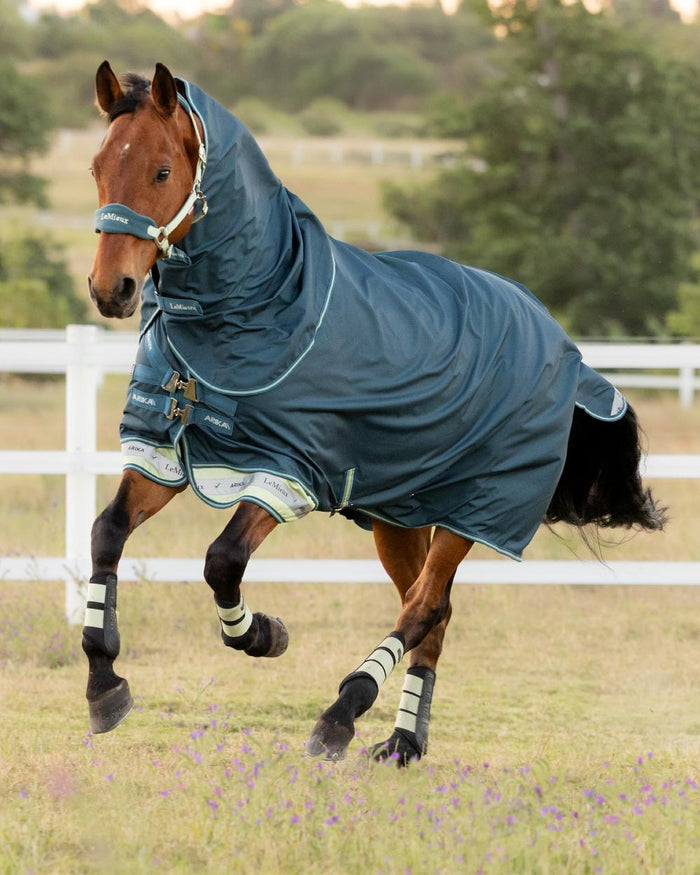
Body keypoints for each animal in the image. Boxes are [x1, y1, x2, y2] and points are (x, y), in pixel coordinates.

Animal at [85, 61, 666, 764]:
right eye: (96, 167)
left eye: (162, 171)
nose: (110, 290)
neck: (264, 307)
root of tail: (560, 341)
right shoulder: (165, 454)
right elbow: (108, 532)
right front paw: (104, 683)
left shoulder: (289, 471)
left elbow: (221, 560)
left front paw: (264, 634)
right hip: (401, 514)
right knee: (433, 615)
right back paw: (403, 741)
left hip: (472, 512)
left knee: (421, 610)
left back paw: (343, 712)